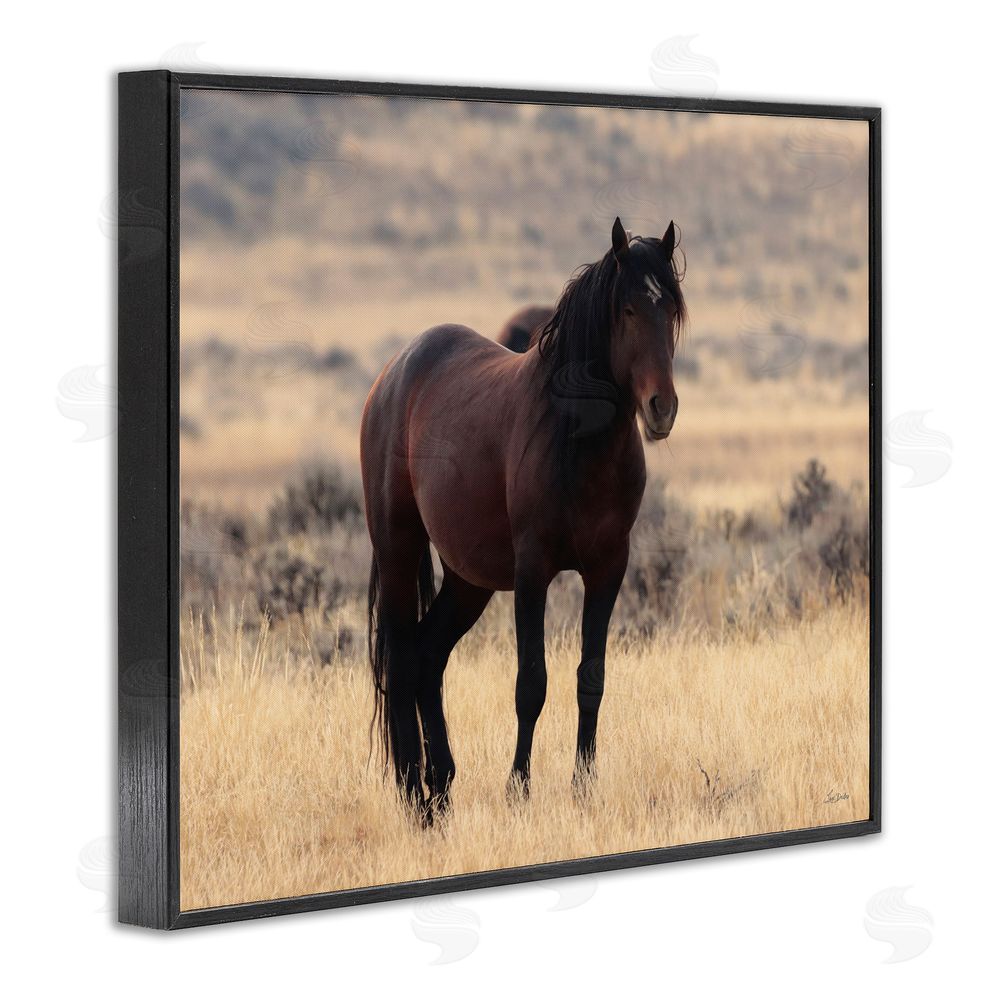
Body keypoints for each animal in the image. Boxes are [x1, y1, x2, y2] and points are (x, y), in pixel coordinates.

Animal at [360, 217, 686, 822]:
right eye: (628, 310)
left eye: (671, 310)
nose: (662, 408)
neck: (577, 441)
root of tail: (392, 375)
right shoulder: (533, 571)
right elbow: (530, 683)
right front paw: (518, 788)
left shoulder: (608, 569)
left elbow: (590, 678)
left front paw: (584, 787)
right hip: (398, 551)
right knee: (402, 659)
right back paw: (415, 796)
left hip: (467, 581)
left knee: (428, 657)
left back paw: (442, 788)